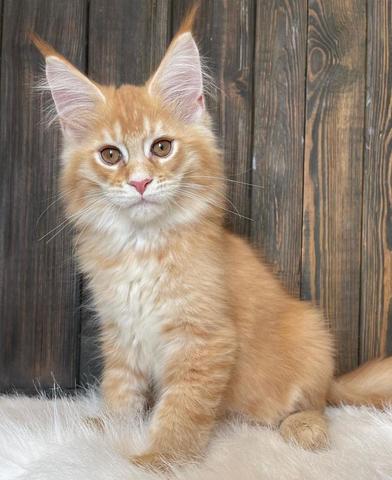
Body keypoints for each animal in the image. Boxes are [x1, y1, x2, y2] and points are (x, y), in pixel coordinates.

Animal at [31, 7, 392, 472]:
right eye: (110, 155)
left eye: (161, 147)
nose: (140, 182)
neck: (142, 248)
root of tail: (332, 377)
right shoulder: (121, 332)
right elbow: (121, 387)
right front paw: (110, 428)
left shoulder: (203, 341)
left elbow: (182, 408)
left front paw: (160, 458)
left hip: (312, 332)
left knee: (317, 403)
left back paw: (303, 427)